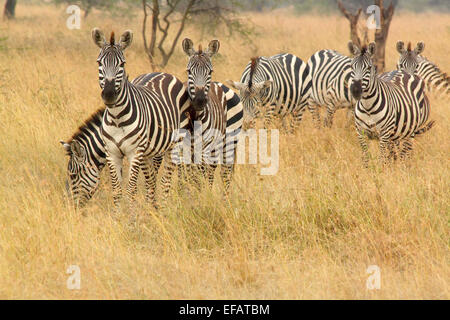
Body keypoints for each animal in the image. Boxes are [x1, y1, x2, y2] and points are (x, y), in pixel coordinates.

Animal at [91, 28, 190, 209]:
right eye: (99, 63)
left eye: (122, 64)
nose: (109, 94)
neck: (117, 117)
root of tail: (162, 72)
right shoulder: (112, 153)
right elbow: (117, 191)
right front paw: (118, 215)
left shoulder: (135, 153)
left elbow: (131, 189)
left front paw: (130, 215)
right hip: (150, 152)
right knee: (151, 181)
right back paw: (153, 209)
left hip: (175, 144)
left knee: (165, 181)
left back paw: (164, 210)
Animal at [179, 38, 243, 191]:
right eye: (189, 71)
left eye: (210, 71)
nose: (200, 100)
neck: (195, 118)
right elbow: (185, 176)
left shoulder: (205, 146)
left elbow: (198, 177)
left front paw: (199, 195)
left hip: (228, 140)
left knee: (223, 173)